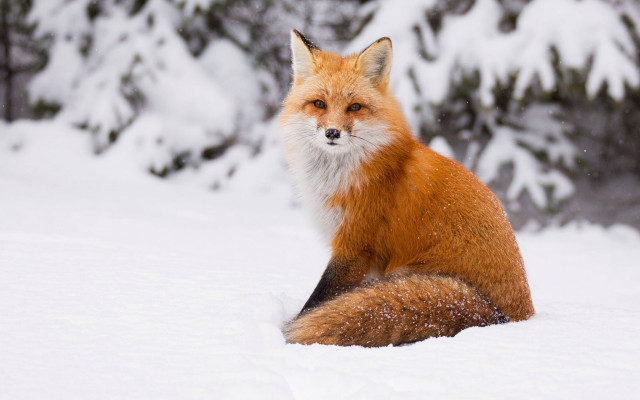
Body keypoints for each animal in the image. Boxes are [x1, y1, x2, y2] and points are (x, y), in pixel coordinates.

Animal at [279, 30, 535, 347]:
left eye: (354, 107)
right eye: (319, 104)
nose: (333, 133)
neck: (339, 176)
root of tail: (510, 317)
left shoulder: (355, 245)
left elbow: (318, 300)